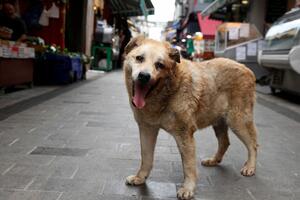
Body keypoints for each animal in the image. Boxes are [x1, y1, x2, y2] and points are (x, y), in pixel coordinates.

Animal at [122, 36, 258, 200]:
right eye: (139, 58)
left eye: (159, 65)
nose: (144, 76)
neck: (167, 92)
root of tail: (247, 69)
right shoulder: (147, 129)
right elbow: (146, 157)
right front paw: (140, 177)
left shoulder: (184, 134)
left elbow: (188, 166)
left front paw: (188, 188)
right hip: (219, 122)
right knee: (225, 142)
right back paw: (214, 160)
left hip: (237, 121)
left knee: (253, 144)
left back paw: (250, 166)